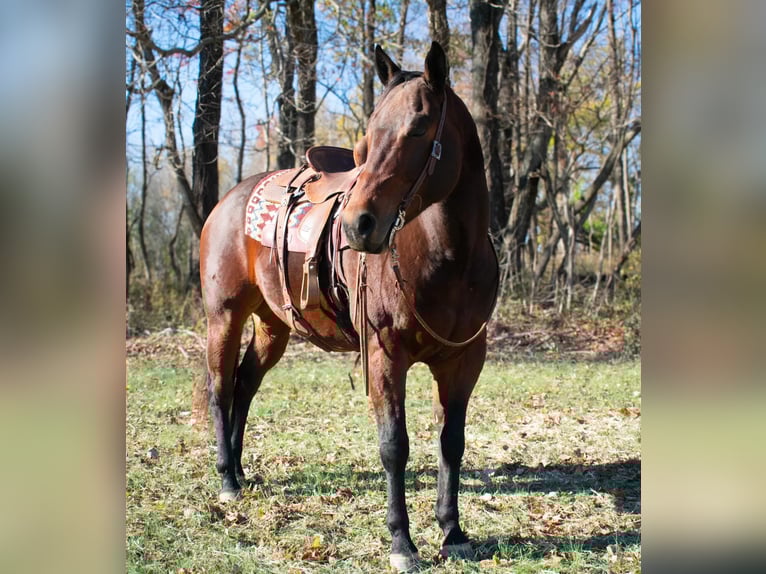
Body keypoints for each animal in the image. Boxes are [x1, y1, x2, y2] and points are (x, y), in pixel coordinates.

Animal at [199, 41, 499, 571]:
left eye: (418, 128)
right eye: (368, 136)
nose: (359, 225)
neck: (450, 259)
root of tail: (228, 200)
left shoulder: (464, 361)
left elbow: (452, 443)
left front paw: (453, 532)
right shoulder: (384, 356)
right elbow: (394, 445)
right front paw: (402, 542)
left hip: (273, 328)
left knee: (245, 385)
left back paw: (239, 468)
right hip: (225, 318)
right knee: (221, 388)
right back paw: (228, 480)